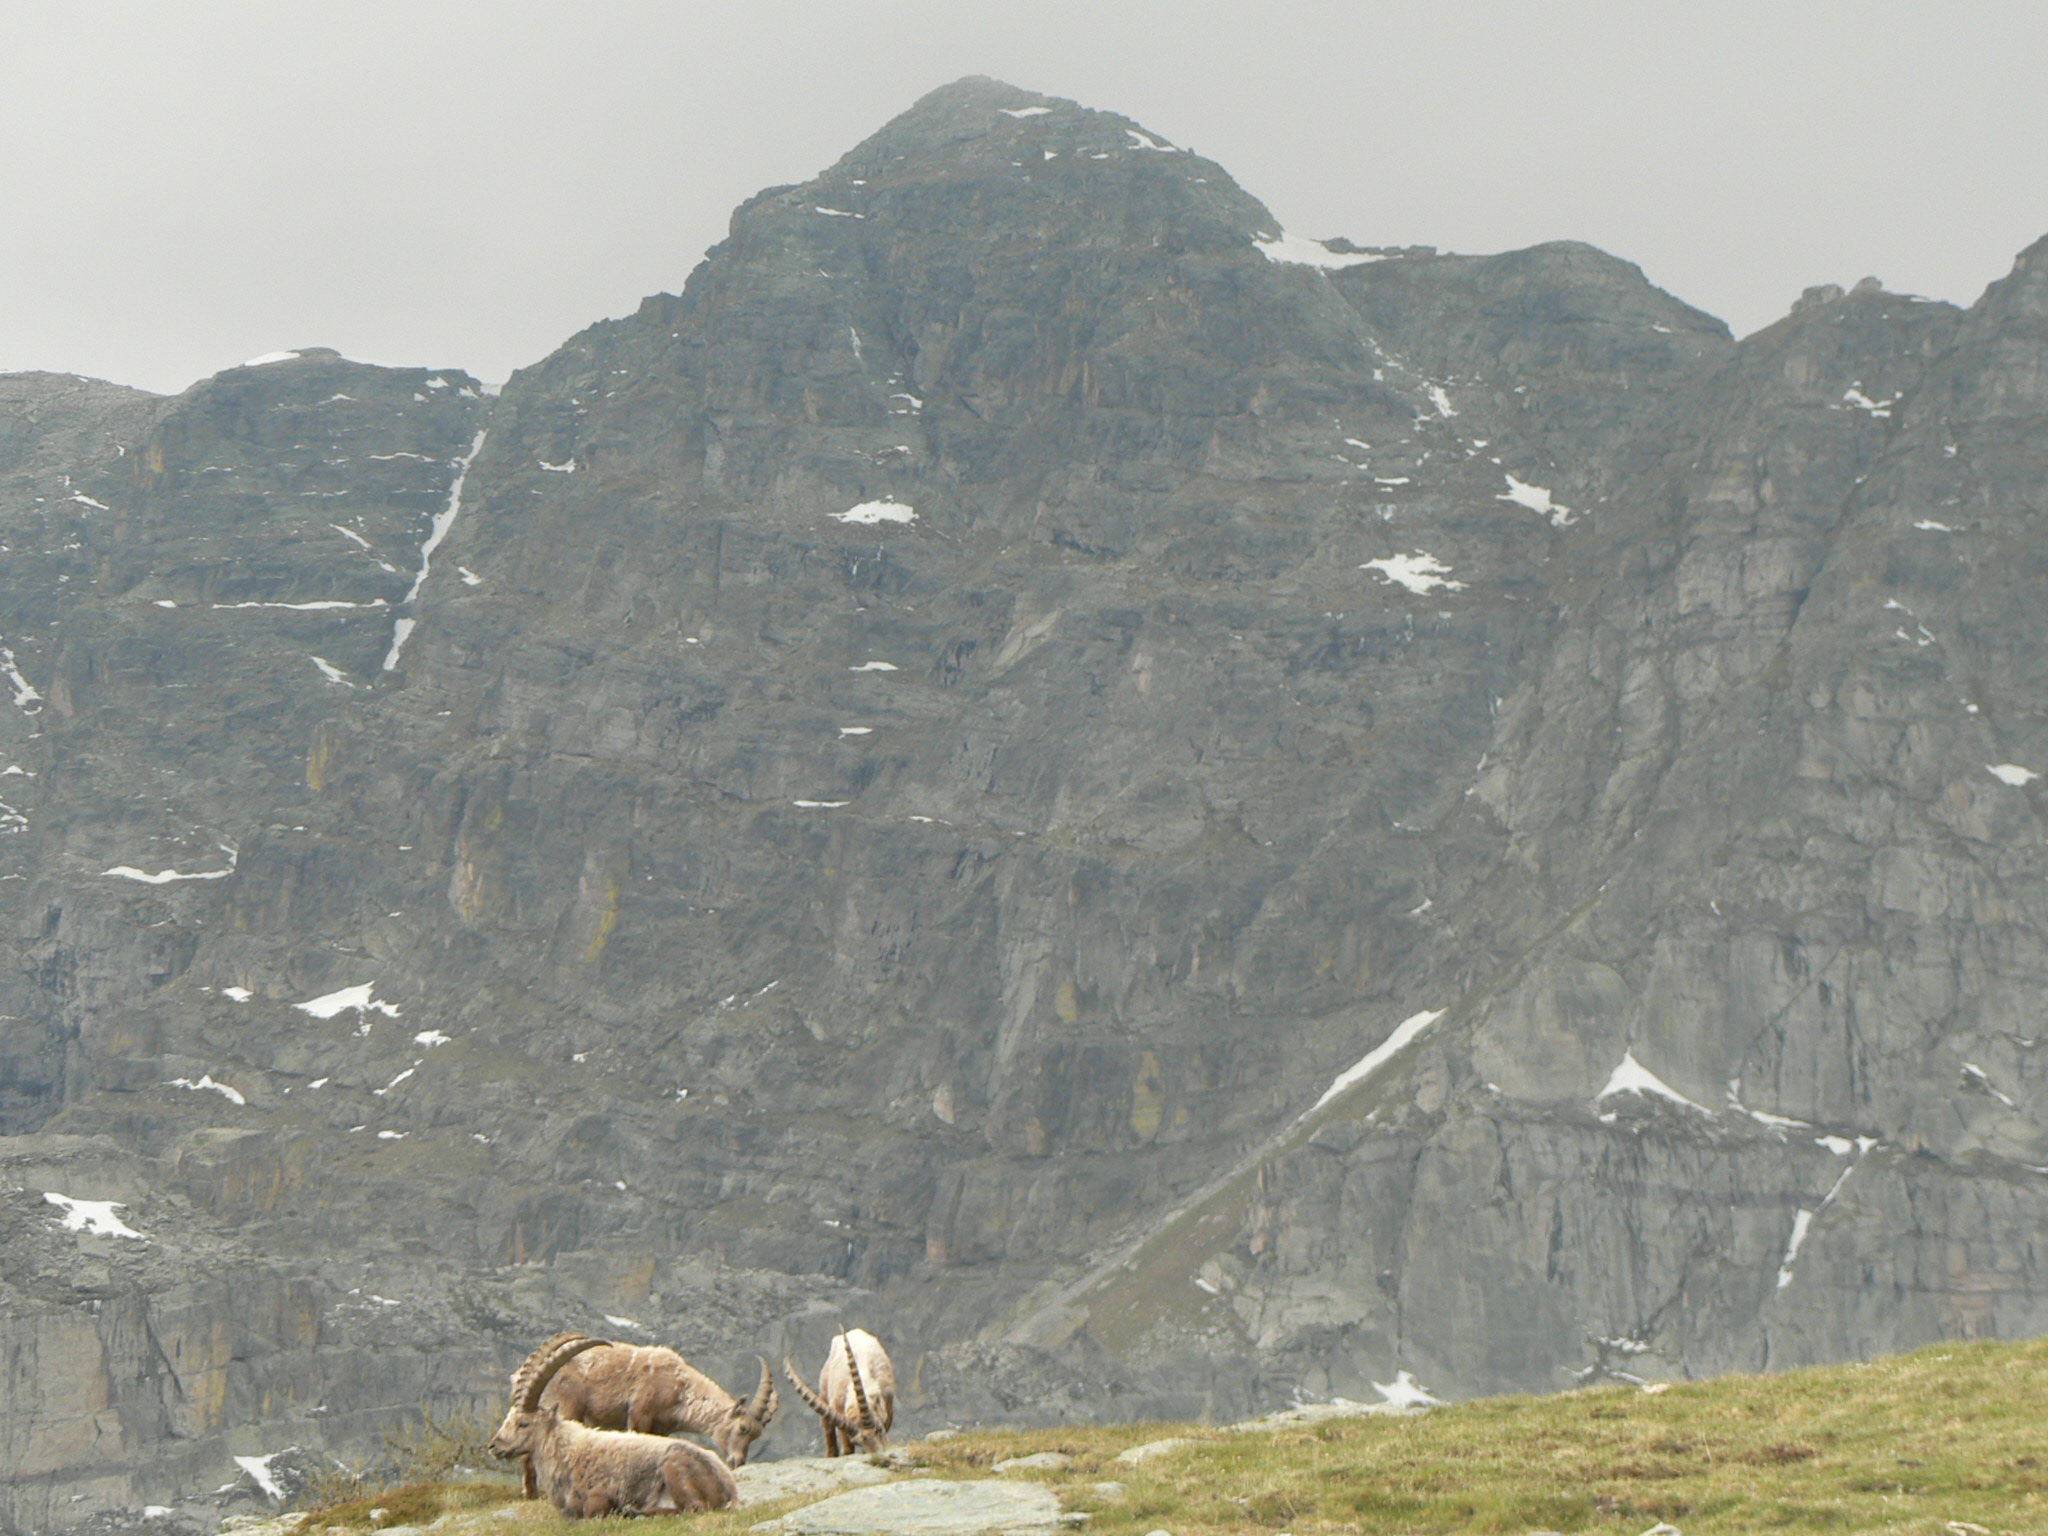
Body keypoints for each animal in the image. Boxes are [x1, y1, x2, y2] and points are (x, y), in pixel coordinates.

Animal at [488, 1332, 738, 1517]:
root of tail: (729, 1486)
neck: (568, 1453)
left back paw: (635, 1511)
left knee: (694, 1508)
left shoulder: (600, 1491)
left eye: (523, 1423)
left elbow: (593, 1509)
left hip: (674, 1466)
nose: (494, 1446)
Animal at [510, 1340, 777, 1494]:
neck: (680, 1388)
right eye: (742, 1428)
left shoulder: (662, 1428)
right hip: (568, 1406)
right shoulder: (640, 1413)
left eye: (756, 1435)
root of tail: (519, 1374)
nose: (737, 1461)